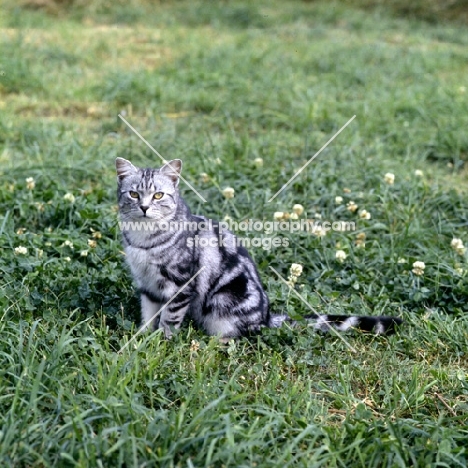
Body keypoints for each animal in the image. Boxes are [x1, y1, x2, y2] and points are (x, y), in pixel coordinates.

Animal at [116, 158, 402, 340]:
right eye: (133, 194)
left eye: (158, 195)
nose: (144, 207)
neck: (143, 239)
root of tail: (265, 317)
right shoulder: (147, 284)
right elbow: (148, 315)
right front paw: (141, 338)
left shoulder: (181, 284)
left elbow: (169, 319)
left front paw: (162, 342)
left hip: (223, 302)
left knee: (235, 336)